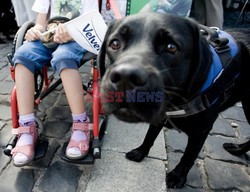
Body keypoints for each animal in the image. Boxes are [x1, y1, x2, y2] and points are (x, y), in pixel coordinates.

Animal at [97, 12, 250, 188]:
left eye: (171, 47)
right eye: (115, 43)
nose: (125, 78)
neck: (175, 103)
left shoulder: (202, 131)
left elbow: (188, 156)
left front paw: (177, 176)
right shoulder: (159, 118)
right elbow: (149, 136)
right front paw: (141, 152)